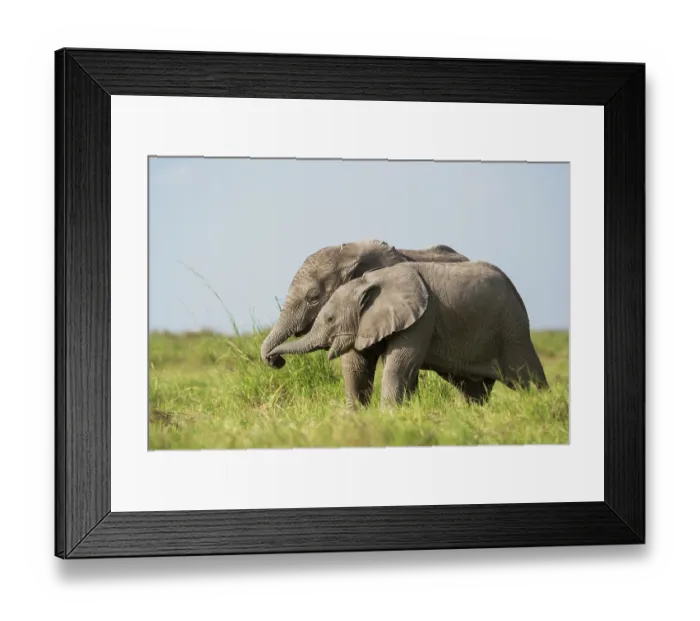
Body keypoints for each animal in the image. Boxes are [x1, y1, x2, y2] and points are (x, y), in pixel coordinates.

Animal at [267, 261, 548, 407]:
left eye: (329, 319)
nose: (274, 360)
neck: (369, 282)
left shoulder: (422, 317)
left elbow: (399, 366)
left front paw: (389, 416)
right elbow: (359, 366)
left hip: (512, 329)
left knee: (528, 376)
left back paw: (543, 404)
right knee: (472, 389)